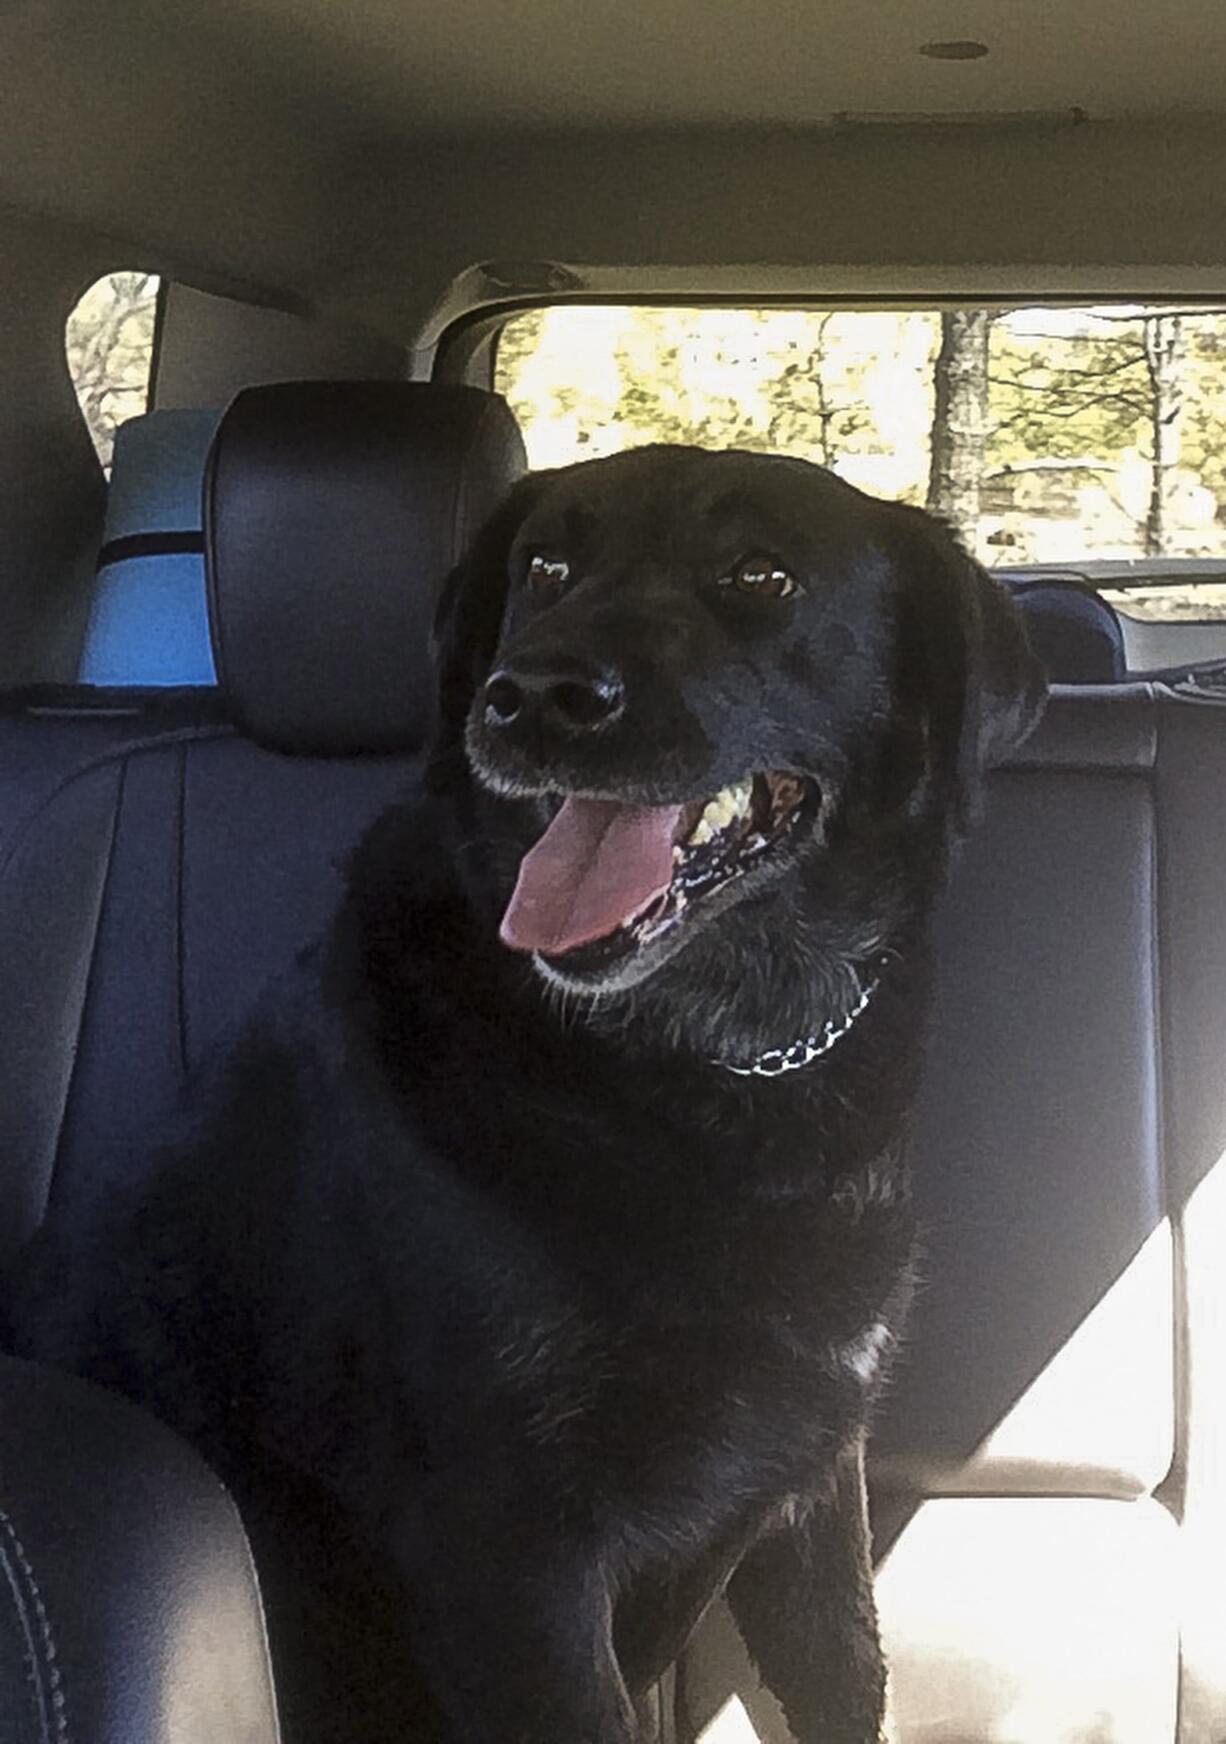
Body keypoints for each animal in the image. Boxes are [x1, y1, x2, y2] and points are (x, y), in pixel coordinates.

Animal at [11, 449, 1046, 1744]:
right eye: (547, 566)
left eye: (761, 575)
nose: (535, 696)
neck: (695, 1058)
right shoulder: (508, 1550)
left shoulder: (815, 1475)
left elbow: (847, 1679)